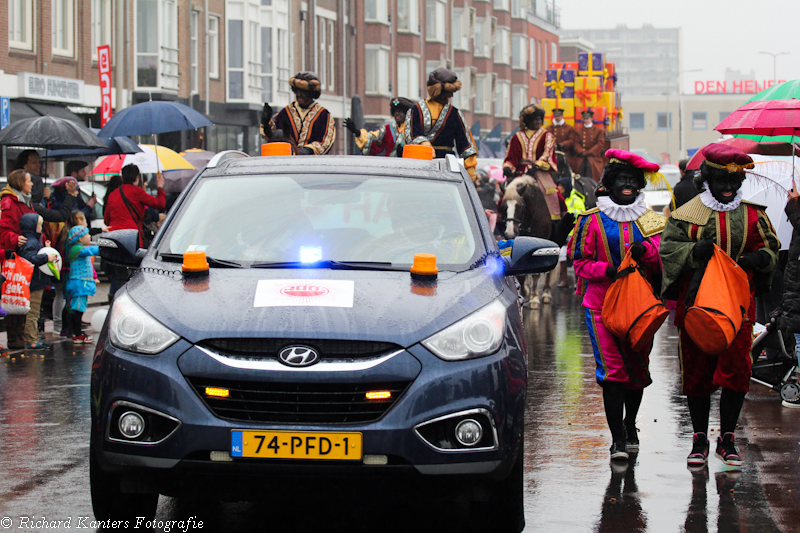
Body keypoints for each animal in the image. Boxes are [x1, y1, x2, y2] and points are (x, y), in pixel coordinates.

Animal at [500, 172, 556, 310]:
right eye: (503, 207)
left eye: (519, 206)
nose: (509, 233)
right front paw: (524, 292)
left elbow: (536, 274)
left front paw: (534, 298)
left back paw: (546, 293)